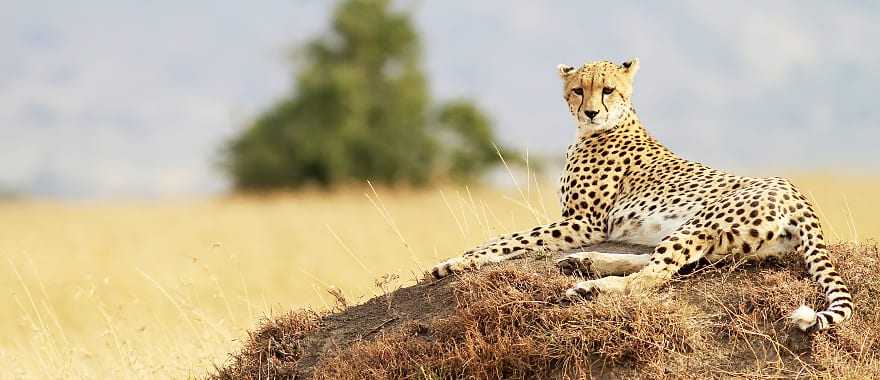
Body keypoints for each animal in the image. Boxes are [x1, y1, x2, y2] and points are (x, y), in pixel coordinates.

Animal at [432, 58, 852, 332]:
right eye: (578, 91)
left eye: (608, 90)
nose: (591, 112)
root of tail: (800, 197)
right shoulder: (581, 222)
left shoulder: (584, 222)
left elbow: (509, 238)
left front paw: (456, 261)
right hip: (723, 244)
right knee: (666, 265)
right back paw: (585, 263)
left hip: (701, 222)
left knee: (652, 277)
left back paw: (589, 286)